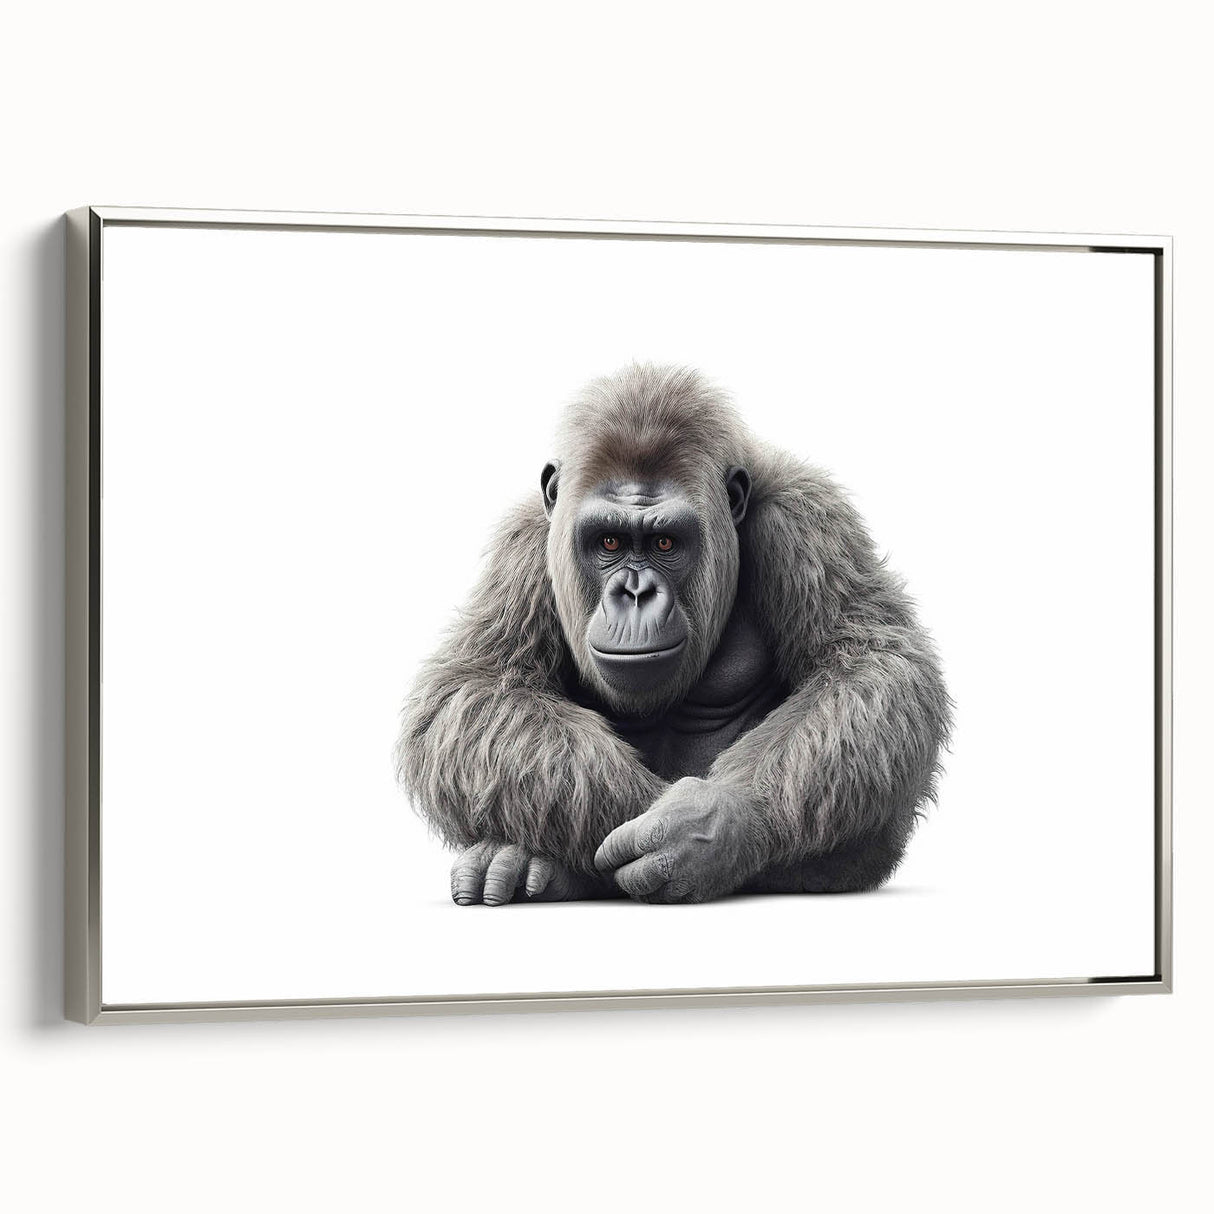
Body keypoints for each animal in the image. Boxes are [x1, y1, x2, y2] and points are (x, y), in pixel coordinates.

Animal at [395, 364, 951, 905]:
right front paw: (638, 820)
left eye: (665, 542)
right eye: (609, 541)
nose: (635, 592)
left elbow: (869, 662)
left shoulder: (805, 516)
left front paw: (712, 825)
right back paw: (522, 863)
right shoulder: (527, 541)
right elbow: (477, 686)